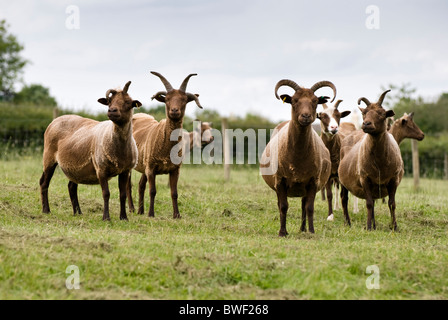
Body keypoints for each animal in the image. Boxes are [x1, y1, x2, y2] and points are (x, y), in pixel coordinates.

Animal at [40, 80, 142, 220]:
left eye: (128, 102)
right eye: (109, 101)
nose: (111, 110)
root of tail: (56, 120)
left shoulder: (125, 170)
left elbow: (123, 194)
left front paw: (124, 218)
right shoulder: (101, 169)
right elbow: (106, 193)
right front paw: (106, 218)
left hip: (74, 167)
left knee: (71, 187)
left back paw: (78, 212)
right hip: (49, 157)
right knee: (44, 183)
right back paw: (46, 210)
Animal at [260, 79, 336, 236]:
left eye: (315, 101)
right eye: (294, 100)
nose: (306, 116)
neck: (298, 157)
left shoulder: (313, 181)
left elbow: (310, 208)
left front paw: (311, 231)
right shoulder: (280, 181)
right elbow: (283, 206)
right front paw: (282, 232)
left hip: (303, 187)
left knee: (303, 205)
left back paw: (303, 229)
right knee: (281, 204)